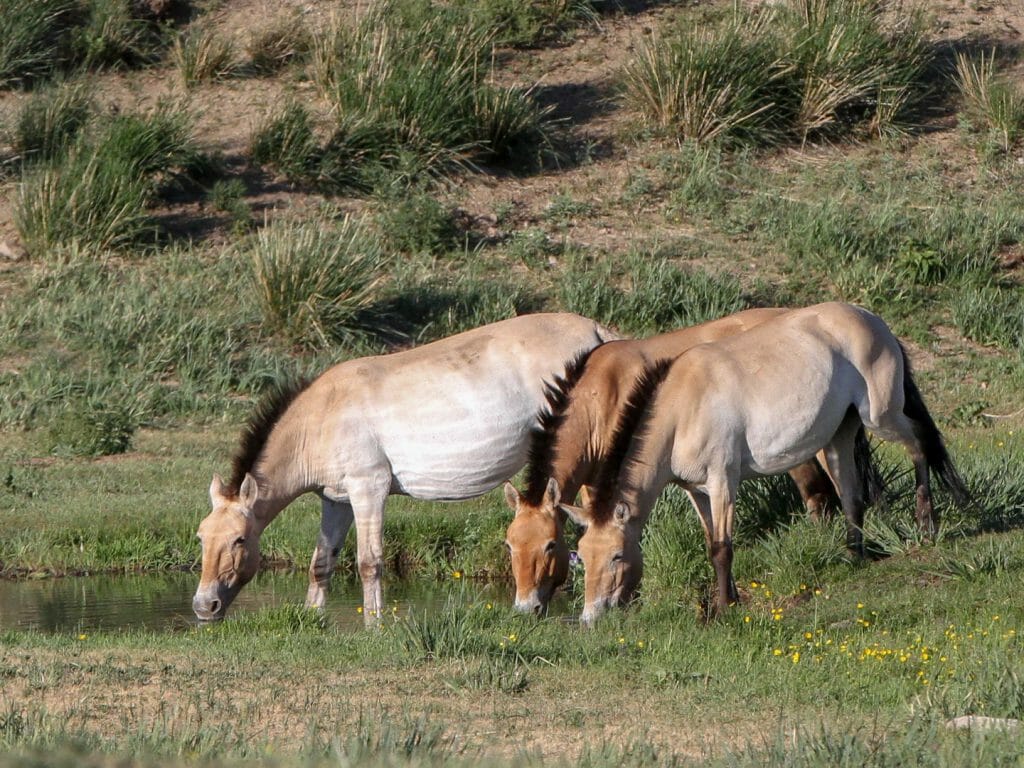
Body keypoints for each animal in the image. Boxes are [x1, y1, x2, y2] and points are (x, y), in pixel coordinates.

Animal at [192, 313, 618, 623]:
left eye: (239, 540)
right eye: (200, 538)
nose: (202, 606)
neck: (324, 415)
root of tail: (597, 332)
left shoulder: (369, 489)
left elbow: (369, 562)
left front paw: (375, 624)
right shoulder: (337, 500)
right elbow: (321, 563)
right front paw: (313, 618)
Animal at [574, 302, 970, 625]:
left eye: (615, 556)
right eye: (583, 556)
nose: (589, 617)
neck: (681, 407)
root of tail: (872, 319)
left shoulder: (723, 481)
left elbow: (722, 547)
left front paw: (723, 610)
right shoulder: (697, 492)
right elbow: (711, 541)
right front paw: (730, 600)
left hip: (880, 417)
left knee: (919, 443)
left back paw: (926, 524)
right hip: (840, 435)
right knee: (852, 495)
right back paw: (853, 555)